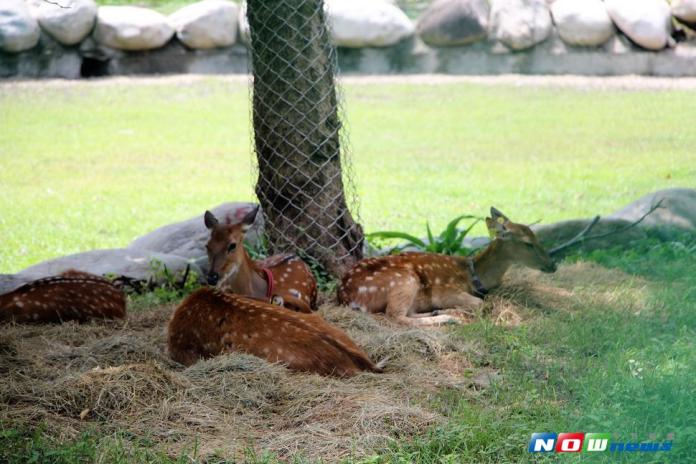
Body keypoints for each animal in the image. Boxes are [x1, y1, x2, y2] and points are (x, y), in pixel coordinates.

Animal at [334, 207, 556, 326]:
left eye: (536, 236)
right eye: (528, 243)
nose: (552, 265)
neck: (473, 275)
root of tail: (346, 296)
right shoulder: (446, 291)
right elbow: (480, 304)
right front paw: (458, 312)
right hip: (404, 280)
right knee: (396, 316)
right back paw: (449, 317)